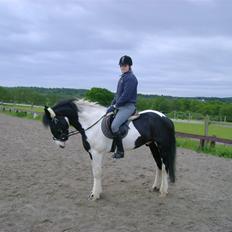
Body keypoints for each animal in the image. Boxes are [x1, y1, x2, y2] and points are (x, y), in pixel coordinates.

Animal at [42, 99, 176, 200]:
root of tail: (166, 118)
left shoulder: (97, 153)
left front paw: (95, 195)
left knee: (165, 166)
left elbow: (97, 172)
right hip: (152, 145)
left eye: (54, 123)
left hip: (162, 146)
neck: (90, 123)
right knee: (158, 165)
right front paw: (97, 192)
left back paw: (163, 191)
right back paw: (155, 187)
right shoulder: (92, 153)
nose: (60, 144)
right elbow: (95, 171)